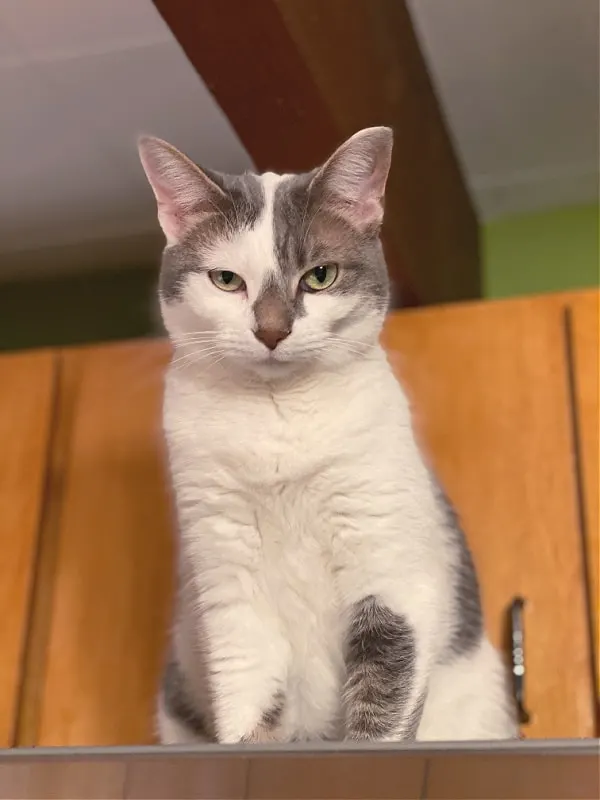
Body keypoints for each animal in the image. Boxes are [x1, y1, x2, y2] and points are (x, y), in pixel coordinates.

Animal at [138, 126, 516, 744]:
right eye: (226, 280)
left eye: (319, 275)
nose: (272, 330)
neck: (278, 418)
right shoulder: (231, 593)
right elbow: (247, 707)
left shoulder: (392, 574)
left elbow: (382, 709)